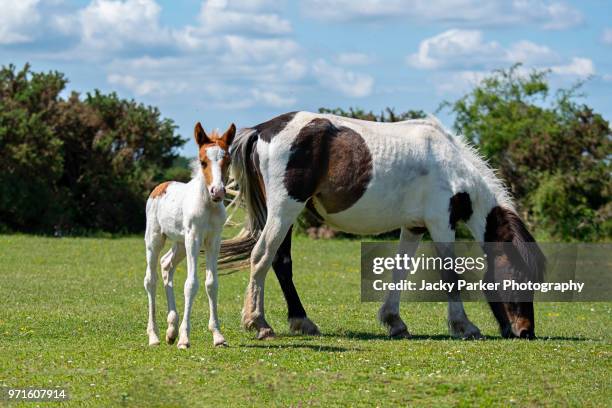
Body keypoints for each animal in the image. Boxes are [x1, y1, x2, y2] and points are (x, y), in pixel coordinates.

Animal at [143, 120, 234, 348]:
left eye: (227, 161)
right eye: (202, 162)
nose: (218, 191)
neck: (208, 205)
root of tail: (160, 186)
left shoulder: (213, 240)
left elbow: (211, 283)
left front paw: (218, 336)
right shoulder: (194, 238)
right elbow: (191, 284)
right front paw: (184, 338)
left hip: (180, 244)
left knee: (166, 265)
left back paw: (171, 329)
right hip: (155, 240)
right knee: (151, 279)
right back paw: (154, 336)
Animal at [222, 111, 548, 342]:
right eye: (517, 277)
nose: (525, 332)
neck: (451, 166)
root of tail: (263, 129)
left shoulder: (415, 226)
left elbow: (400, 270)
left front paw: (395, 322)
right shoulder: (441, 222)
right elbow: (450, 275)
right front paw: (464, 325)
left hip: (286, 213)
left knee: (281, 262)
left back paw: (301, 321)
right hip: (285, 209)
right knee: (262, 256)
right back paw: (259, 322)